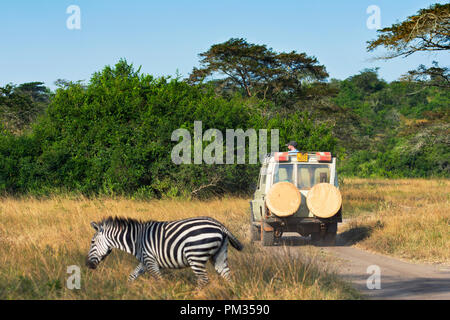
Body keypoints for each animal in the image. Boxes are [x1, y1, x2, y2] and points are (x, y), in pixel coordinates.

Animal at [86, 215, 244, 288]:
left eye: (92, 242)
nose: (88, 265)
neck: (136, 240)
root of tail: (220, 225)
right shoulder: (146, 261)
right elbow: (132, 276)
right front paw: (127, 290)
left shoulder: (150, 261)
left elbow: (160, 280)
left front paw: (163, 293)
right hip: (219, 255)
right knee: (226, 275)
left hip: (195, 256)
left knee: (204, 280)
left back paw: (196, 294)